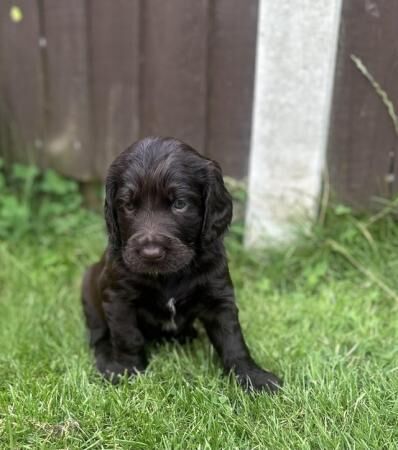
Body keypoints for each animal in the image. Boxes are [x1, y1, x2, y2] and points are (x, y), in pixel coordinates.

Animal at [81, 135, 282, 392]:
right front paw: (126, 370)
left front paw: (252, 377)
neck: (170, 275)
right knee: (99, 333)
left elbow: (232, 340)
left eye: (179, 204)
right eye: (128, 205)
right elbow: (127, 337)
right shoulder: (118, 296)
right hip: (88, 287)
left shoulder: (219, 295)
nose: (151, 252)